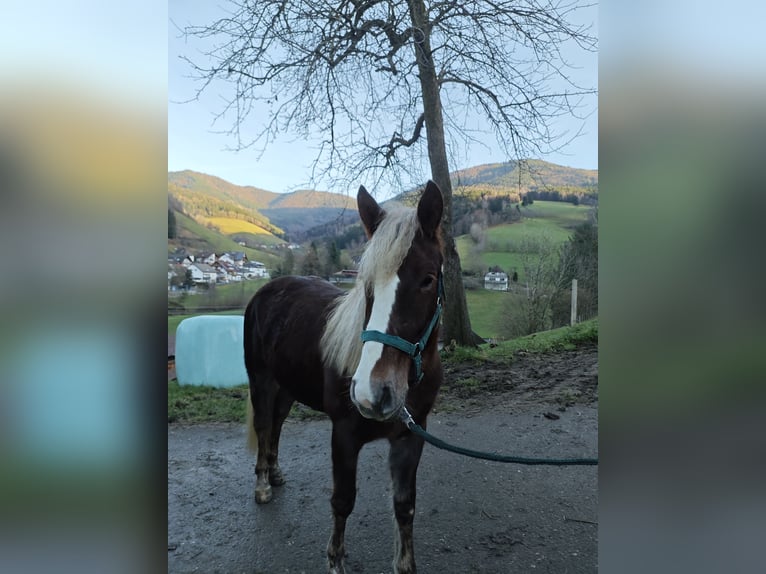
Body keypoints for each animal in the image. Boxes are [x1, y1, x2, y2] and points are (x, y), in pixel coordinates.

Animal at [244, 181, 445, 574]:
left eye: (428, 279)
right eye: (366, 283)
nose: (373, 393)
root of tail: (264, 292)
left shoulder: (411, 436)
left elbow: (405, 505)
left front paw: (405, 564)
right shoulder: (344, 435)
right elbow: (342, 501)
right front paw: (335, 559)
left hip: (287, 387)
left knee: (276, 424)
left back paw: (275, 473)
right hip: (260, 381)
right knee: (262, 425)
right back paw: (262, 484)